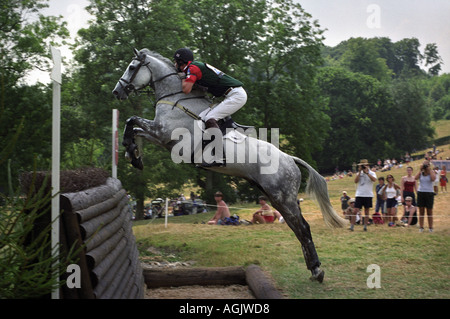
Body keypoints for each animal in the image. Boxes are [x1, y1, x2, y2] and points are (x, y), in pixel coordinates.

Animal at [113, 48, 348, 282]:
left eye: (132, 68)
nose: (117, 92)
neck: (176, 97)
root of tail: (290, 159)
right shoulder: (160, 136)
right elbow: (134, 127)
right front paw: (132, 154)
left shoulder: (164, 134)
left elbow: (132, 120)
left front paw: (131, 152)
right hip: (278, 198)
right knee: (297, 227)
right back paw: (313, 268)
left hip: (283, 197)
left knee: (303, 227)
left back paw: (317, 270)